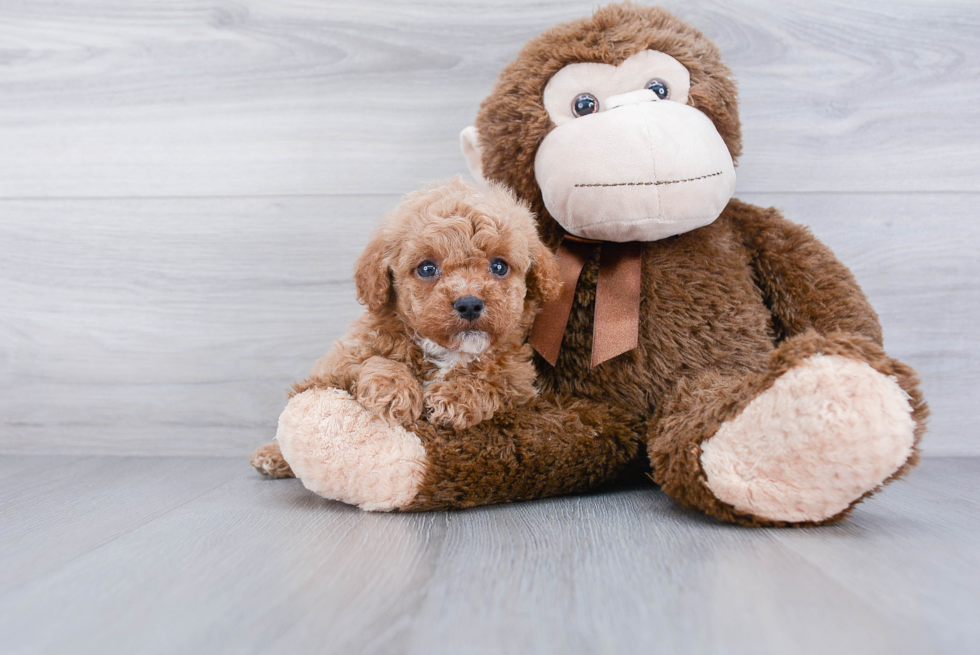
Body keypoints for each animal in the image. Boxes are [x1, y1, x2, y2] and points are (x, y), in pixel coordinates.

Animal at [251, 177, 560, 480]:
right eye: (427, 269)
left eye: (499, 266)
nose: (469, 304)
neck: (448, 351)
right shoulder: (342, 361)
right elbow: (373, 361)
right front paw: (393, 390)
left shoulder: (519, 382)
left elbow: (494, 382)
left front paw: (454, 396)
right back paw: (271, 456)